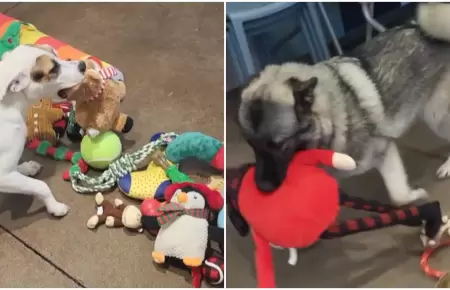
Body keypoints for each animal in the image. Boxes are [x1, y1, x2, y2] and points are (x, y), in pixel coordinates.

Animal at [0, 44, 86, 216]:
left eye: (55, 53)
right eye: (53, 70)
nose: (83, 65)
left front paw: (25, 168)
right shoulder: (2, 176)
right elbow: (41, 186)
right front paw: (55, 206)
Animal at [239, 2, 450, 206]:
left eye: (279, 145)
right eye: (252, 145)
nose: (262, 188)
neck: (332, 119)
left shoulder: (384, 150)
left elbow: (398, 195)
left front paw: (415, 196)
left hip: (437, 117)